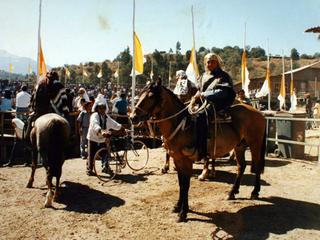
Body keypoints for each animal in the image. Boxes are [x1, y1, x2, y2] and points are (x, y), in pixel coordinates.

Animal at [129, 79, 266, 223]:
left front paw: (183, 212)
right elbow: (181, 183)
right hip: (239, 146)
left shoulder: (186, 161)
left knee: (257, 165)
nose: (132, 117)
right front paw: (178, 205)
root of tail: (259, 113)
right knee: (241, 166)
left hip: (255, 144)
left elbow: (186, 185)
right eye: (140, 94)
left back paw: (255, 192)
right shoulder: (177, 159)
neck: (182, 125)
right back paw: (232, 192)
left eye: (150, 96)